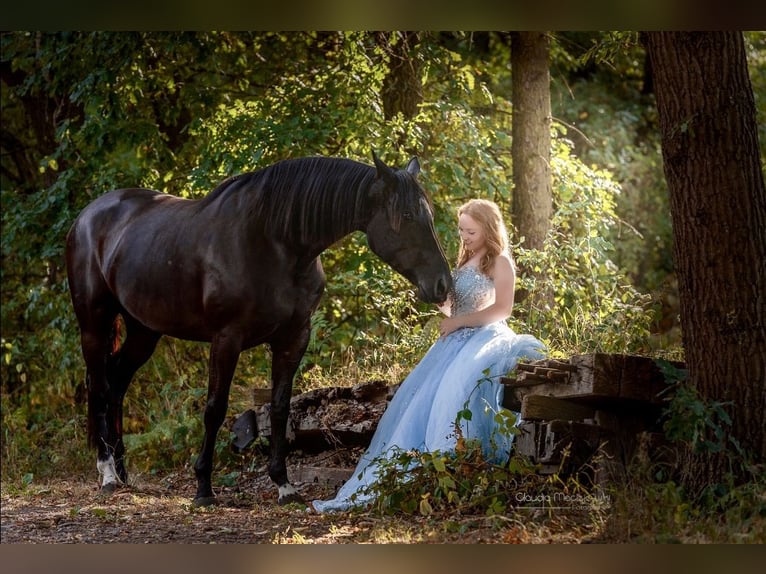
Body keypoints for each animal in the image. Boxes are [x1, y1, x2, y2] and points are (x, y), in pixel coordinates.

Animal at [65, 151, 452, 506]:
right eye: (406, 216)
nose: (442, 284)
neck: (275, 241)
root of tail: (86, 216)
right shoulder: (226, 339)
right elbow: (215, 408)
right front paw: (203, 489)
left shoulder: (293, 338)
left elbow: (280, 408)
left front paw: (284, 485)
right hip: (94, 324)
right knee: (100, 387)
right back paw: (107, 474)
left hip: (144, 330)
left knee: (117, 384)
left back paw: (123, 473)